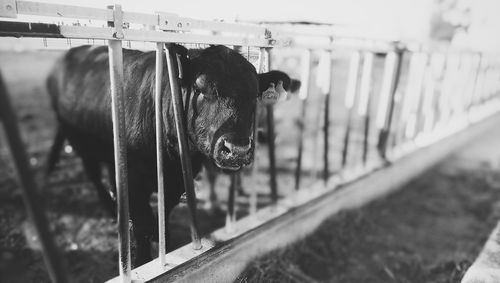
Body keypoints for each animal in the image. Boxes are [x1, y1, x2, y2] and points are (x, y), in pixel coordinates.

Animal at [45, 43, 294, 266]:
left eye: (254, 95)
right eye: (199, 88)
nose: (237, 149)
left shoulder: (177, 183)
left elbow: (163, 214)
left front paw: (162, 239)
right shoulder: (134, 183)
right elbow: (142, 227)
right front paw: (142, 261)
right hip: (80, 142)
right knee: (94, 175)